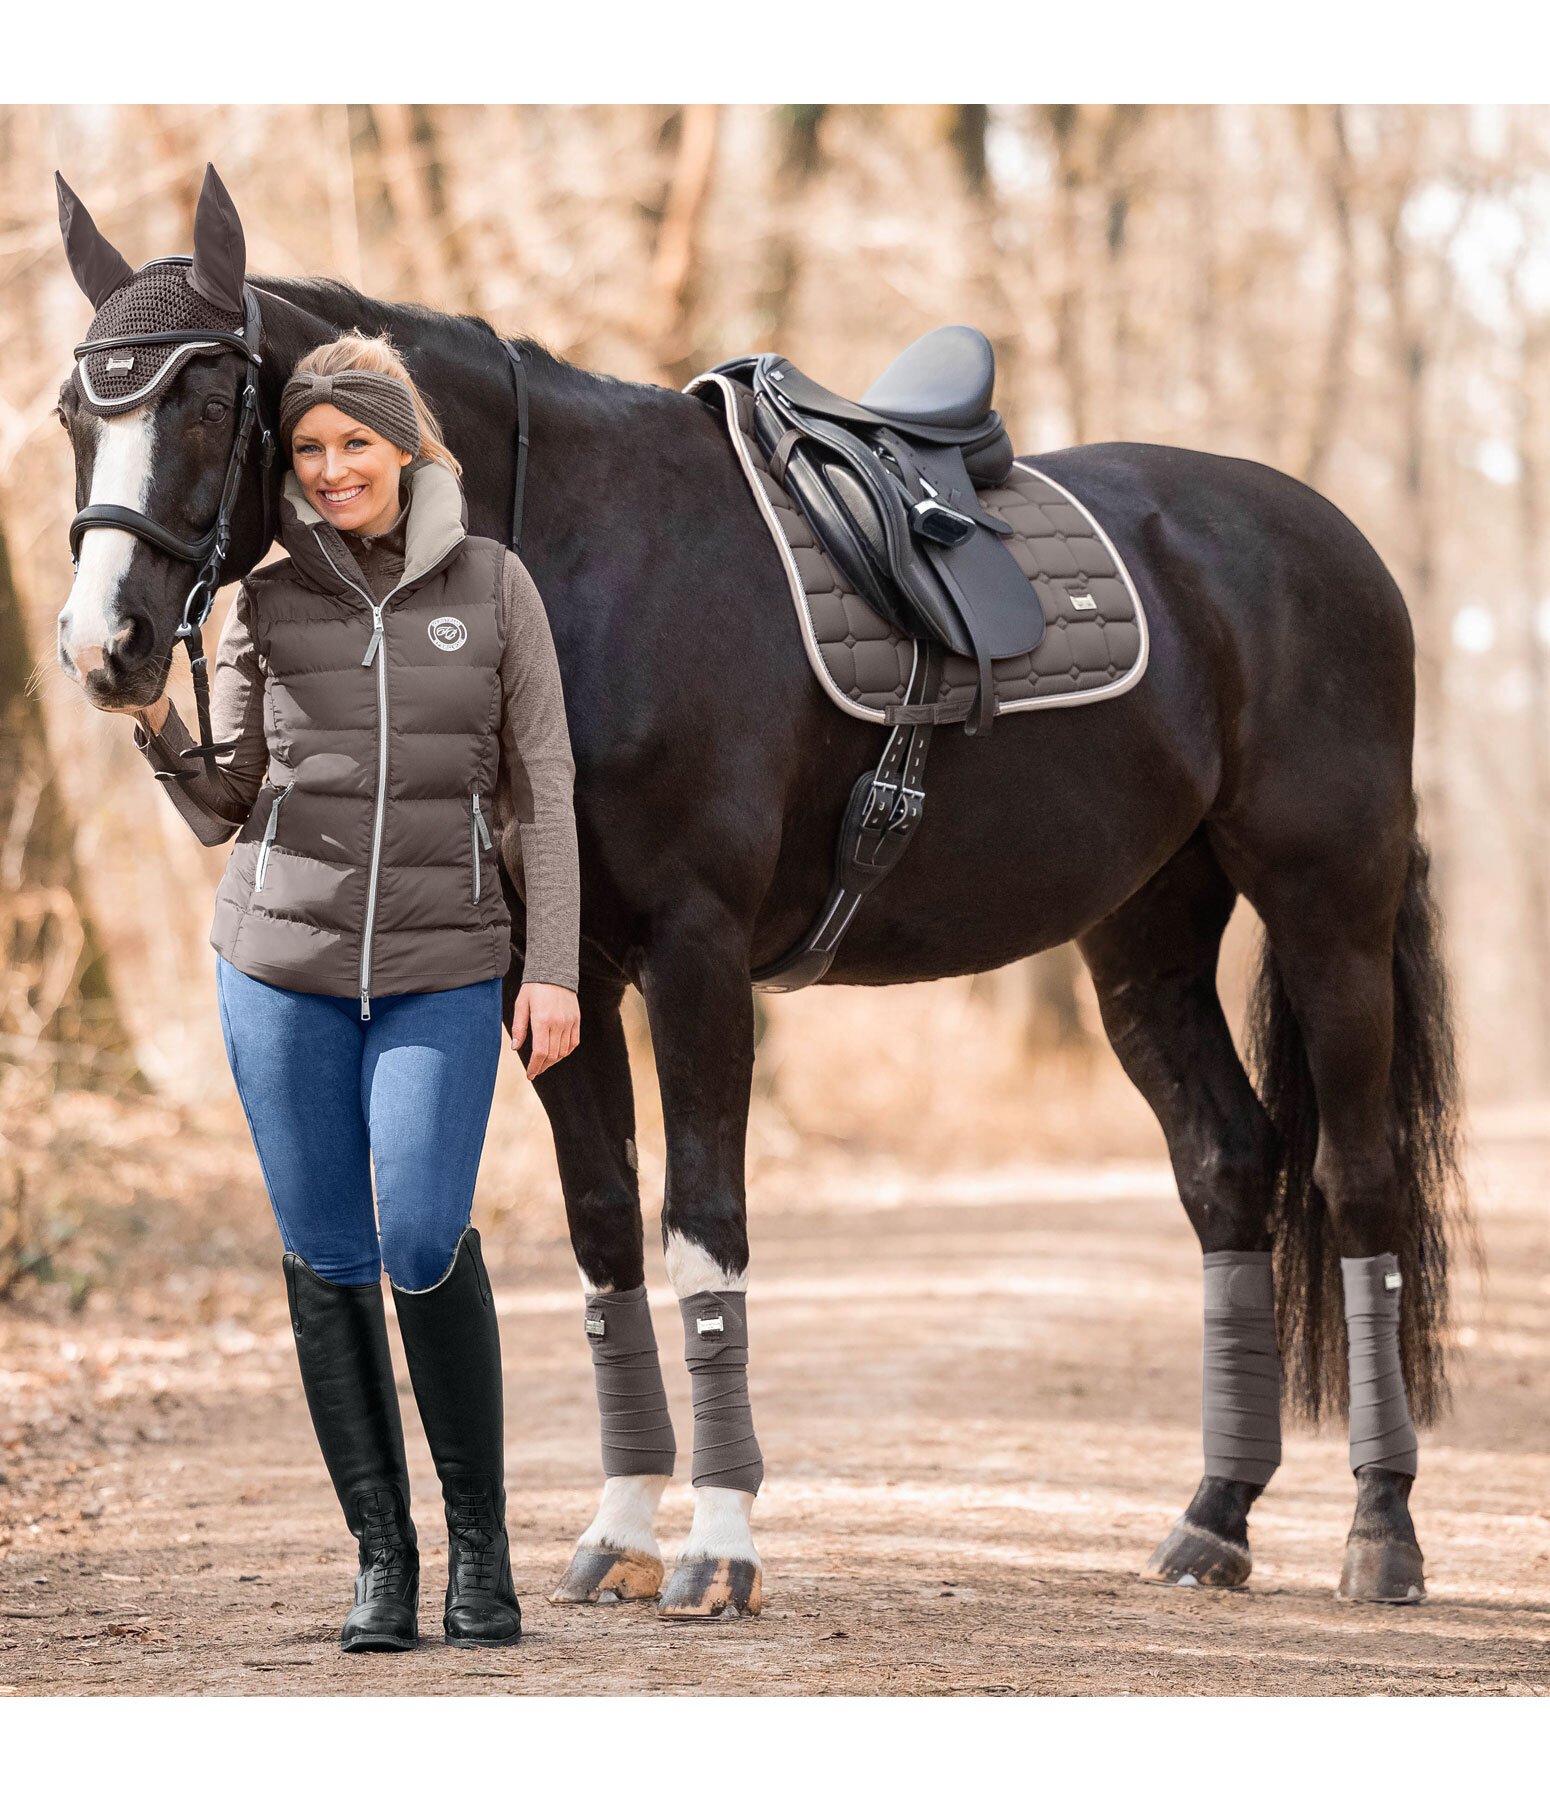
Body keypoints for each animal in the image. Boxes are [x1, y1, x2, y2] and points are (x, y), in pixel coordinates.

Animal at [54, 169, 1466, 1619]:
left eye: (209, 400)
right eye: (74, 412)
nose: (105, 647)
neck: (581, 563)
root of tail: (1327, 540)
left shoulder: (696, 953)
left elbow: (704, 1231)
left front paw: (718, 1546)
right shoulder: (554, 971)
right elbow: (607, 1235)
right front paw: (620, 1530)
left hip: (1326, 907)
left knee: (1356, 1184)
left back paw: (1379, 1533)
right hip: (1143, 937)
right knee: (1229, 1169)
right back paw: (1212, 1518)